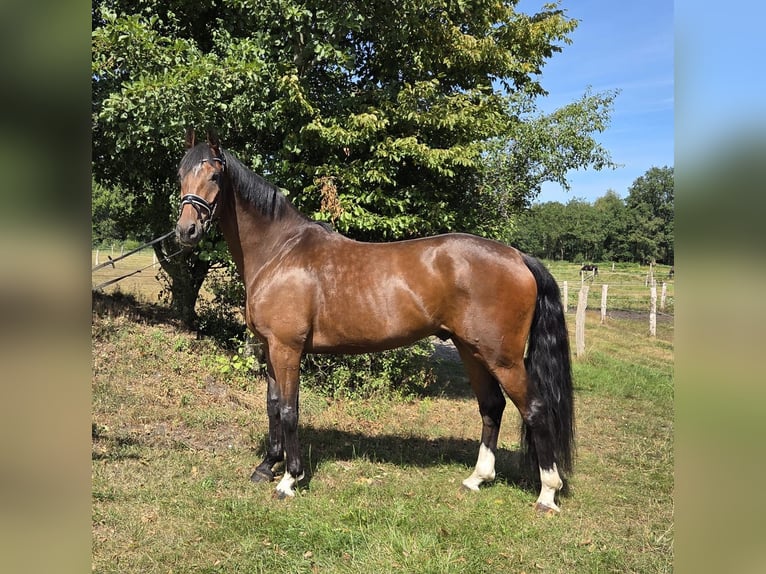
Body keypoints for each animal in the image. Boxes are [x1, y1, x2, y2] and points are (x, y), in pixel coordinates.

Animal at [175, 130, 575, 513]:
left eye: (214, 176)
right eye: (180, 174)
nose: (185, 231)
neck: (280, 251)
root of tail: (518, 257)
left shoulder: (287, 349)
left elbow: (289, 410)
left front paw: (289, 479)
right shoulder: (271, 348)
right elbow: (273, 406)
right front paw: (266, 466)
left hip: (503, 359)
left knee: (535, 410)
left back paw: (547, 494)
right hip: (471, 350)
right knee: (491, 406)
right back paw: (477, 478)